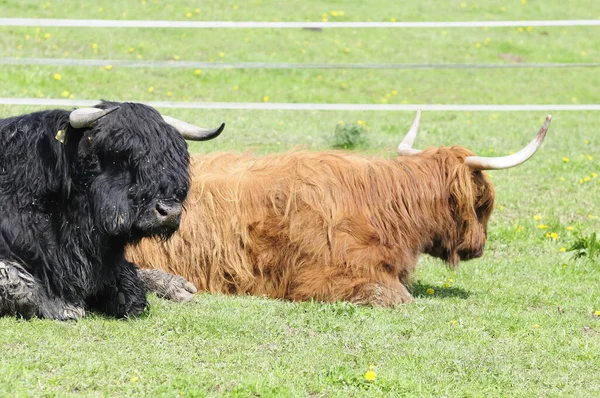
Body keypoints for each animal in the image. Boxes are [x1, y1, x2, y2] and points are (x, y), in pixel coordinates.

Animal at [0, 102, 224, 320]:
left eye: (175, 159)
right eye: (119, 156)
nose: (169, 212)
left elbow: (130, 290)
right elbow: (22, 288)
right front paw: (63, 307)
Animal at [130, 110, 548, 306]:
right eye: (484, 203)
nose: (480, 246)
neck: (383, 207)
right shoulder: (323, 276)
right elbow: (397, 296)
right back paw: (175, 285)